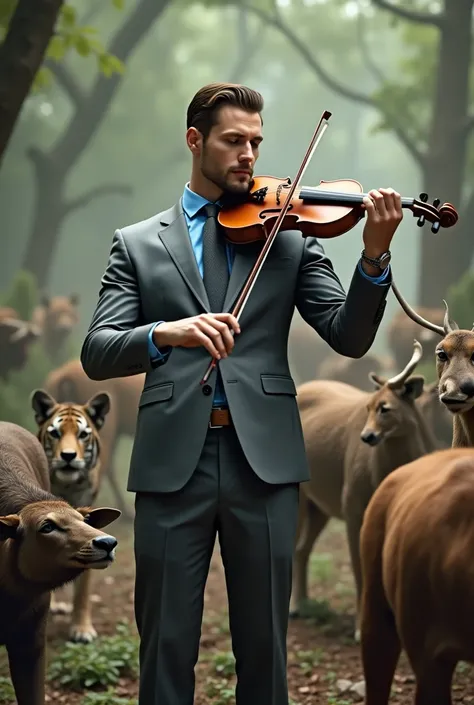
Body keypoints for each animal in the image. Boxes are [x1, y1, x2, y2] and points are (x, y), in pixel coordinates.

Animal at [288, 338, 436, 640]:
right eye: (367, 407)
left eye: (385, 408)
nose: (367, 436)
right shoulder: (353, 507)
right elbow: (360, 570)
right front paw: (360, 630)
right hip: (305, 496)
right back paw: (294, 609)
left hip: (321, 506)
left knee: (302, 548)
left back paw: (305, 604)